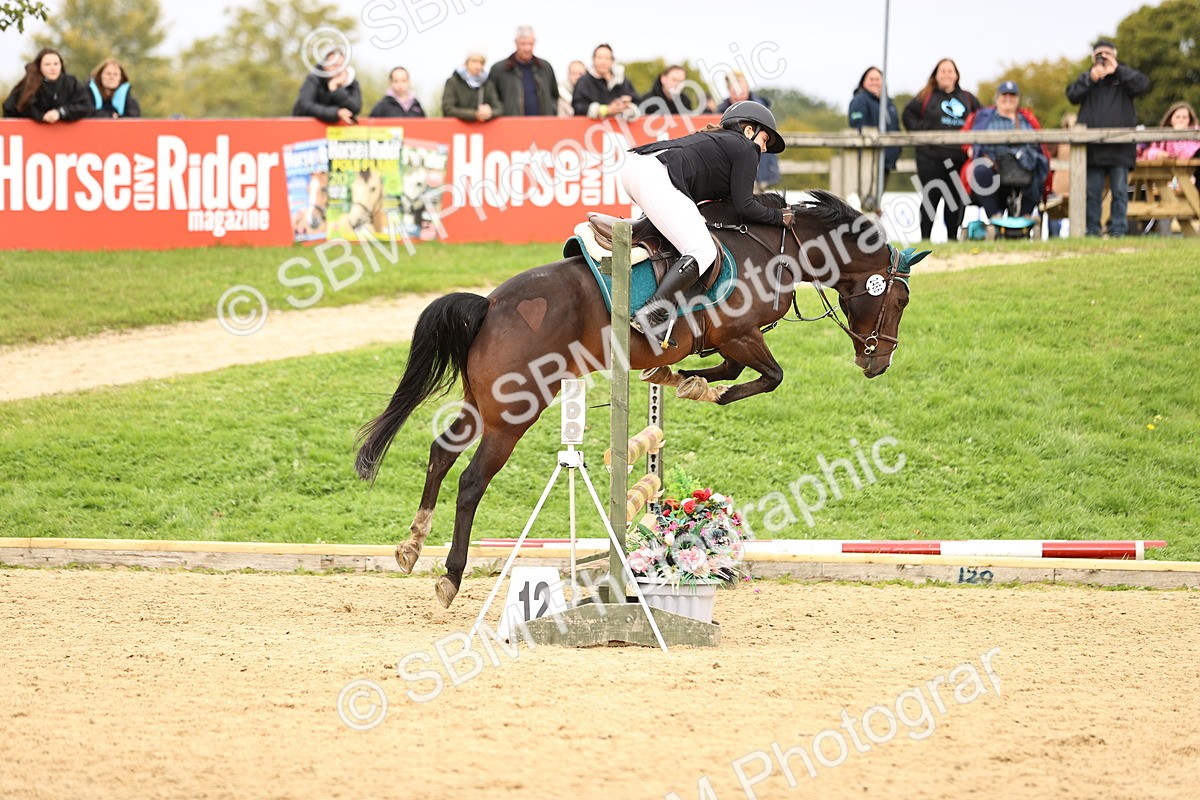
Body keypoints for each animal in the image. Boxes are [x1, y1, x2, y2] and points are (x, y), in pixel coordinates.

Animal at [355, 191, 921, 607]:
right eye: (900, 298)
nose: (878, 362)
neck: (780, 247)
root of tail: (490, 305)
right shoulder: (738, 333)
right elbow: (767, 375)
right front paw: (705, 388)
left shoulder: (724, 339)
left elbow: (727, 369)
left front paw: (679, 378)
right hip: (514, 412)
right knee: (471, 480)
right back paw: (450, 576)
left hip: (483, 404)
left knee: (441, 453)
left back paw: (411, 545)